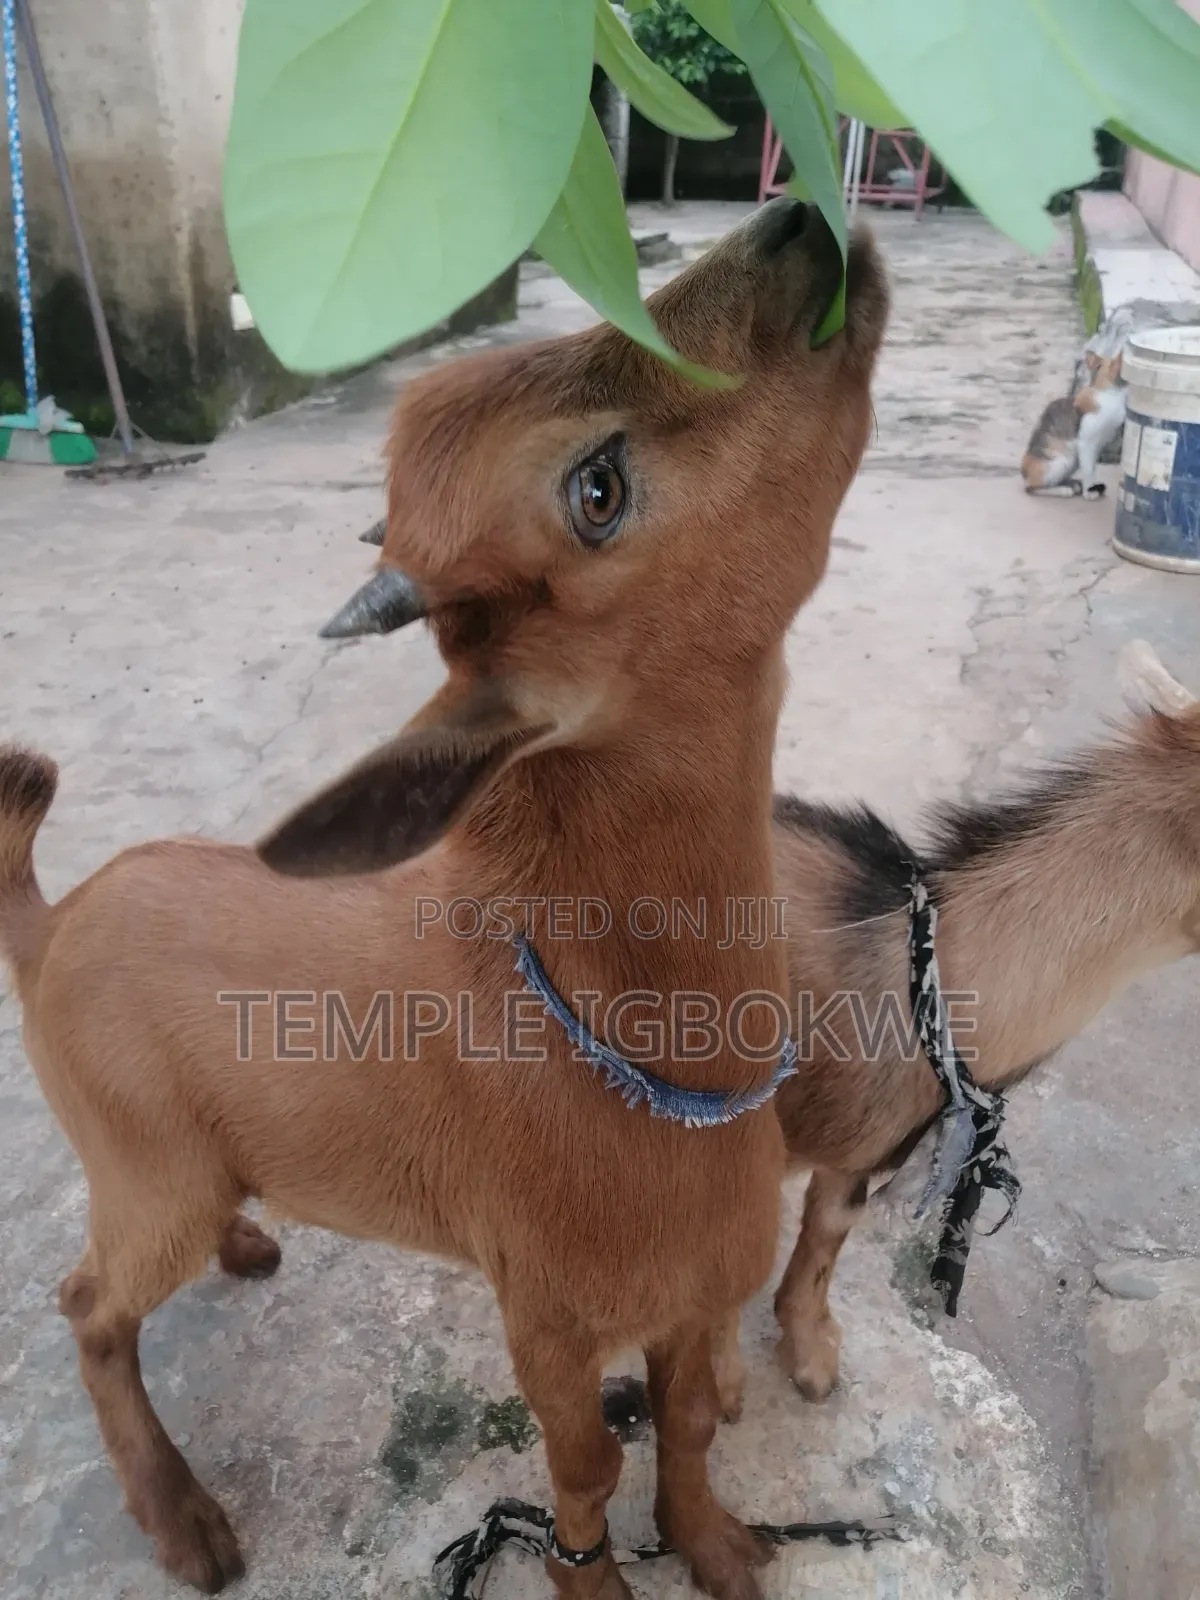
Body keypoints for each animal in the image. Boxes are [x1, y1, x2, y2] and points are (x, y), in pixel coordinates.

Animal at [0, 200, 888, 1600]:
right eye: (596, 487)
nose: (801, 222)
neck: (632, 1059)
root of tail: (49, 923)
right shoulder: (545, 1313)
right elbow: (584, 1469)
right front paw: (596, 1580)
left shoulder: (698, 1296)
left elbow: (690, 1430)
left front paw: (718, 1549)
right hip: (143, 1168)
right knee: (87, 1307)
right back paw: (184, 1521)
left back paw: (250, 1244)